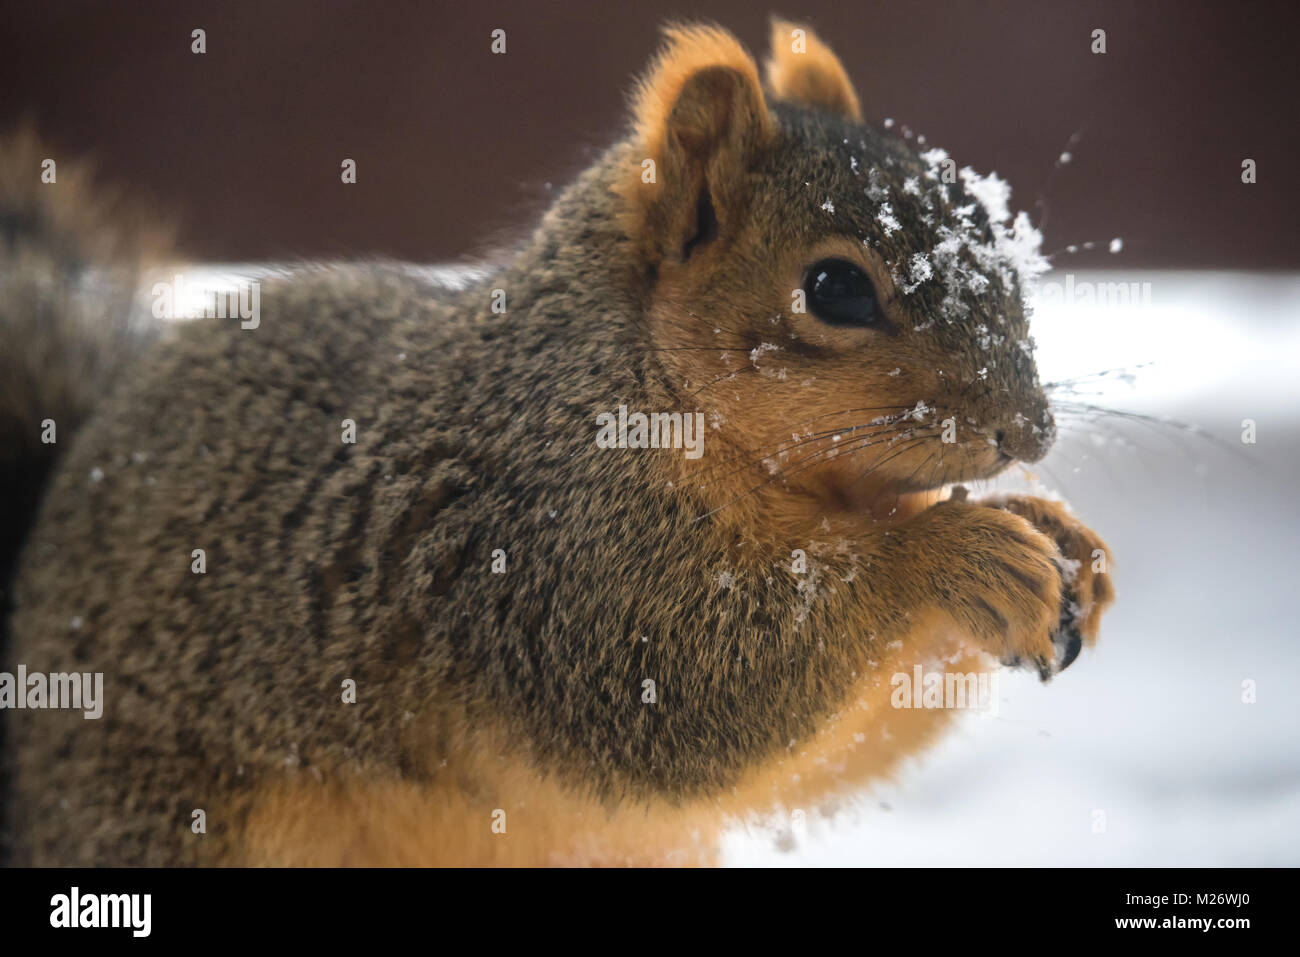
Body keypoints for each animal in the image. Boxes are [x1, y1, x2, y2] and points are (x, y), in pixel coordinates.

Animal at [2, 20, 1107, 868]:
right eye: (836, 288)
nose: (1030, 430)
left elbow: (826, 751)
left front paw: (1061, 544)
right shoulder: (546, 548)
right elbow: (686, 692)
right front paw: (954, 552)